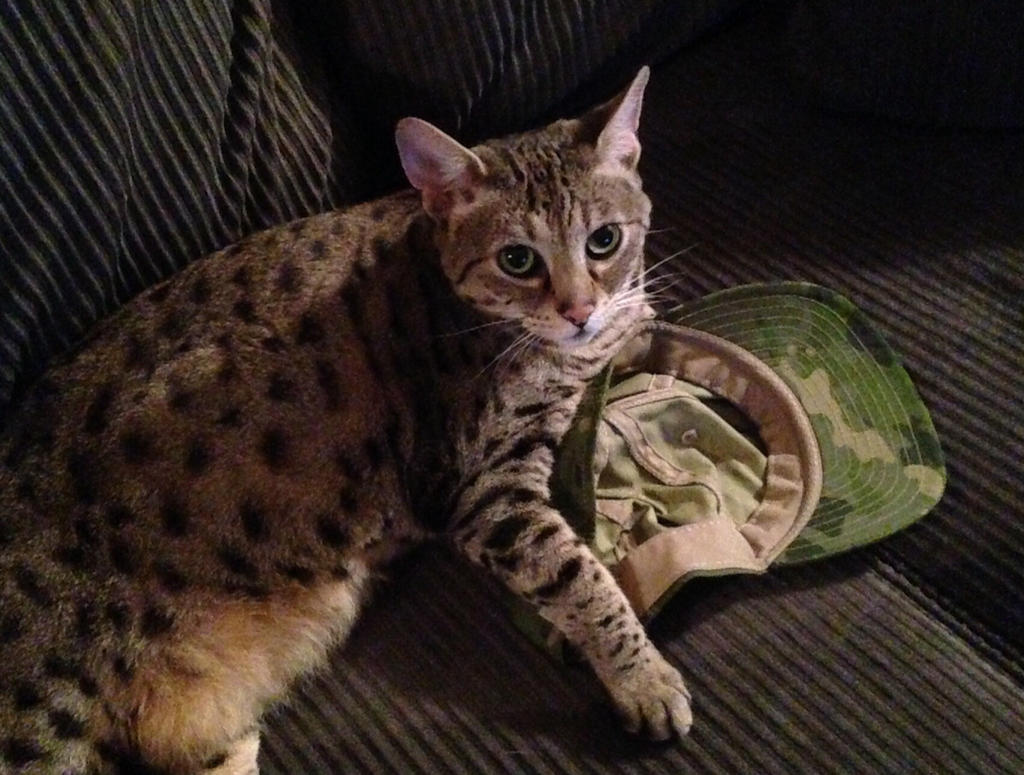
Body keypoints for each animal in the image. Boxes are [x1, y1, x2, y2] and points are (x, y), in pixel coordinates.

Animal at [0, 68, 692, 773]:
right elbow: (581, 580)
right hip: (43, 718)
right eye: (518, 260)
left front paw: (635, 315)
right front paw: (645, 678)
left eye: (603, 240)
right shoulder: (484, 494)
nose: (578, 309)